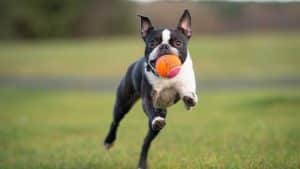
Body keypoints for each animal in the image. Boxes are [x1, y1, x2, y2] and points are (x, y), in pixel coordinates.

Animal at [104, 9, 198, 169]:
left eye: (178, 43)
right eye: (153, 43)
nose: (164, 46)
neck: (166, 78)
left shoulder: (186, 84)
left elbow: (189, 95)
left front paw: (189, 99)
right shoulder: (148, 98)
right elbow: (149, 108)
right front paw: (157, 119)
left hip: (157, 118)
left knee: (146, 141)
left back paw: (142, 163)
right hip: (123, 103)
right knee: (116, 121)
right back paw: (109, 141)